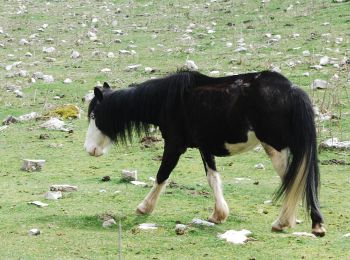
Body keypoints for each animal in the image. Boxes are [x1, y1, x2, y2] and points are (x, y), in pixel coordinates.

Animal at [84, 70, 326, 237]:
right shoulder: (204, 147)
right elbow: (213, 178)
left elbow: (162, 175)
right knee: (297, 180)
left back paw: (286, 222)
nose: (89, 149)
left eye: (95, 115)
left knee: (294, 181)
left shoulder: (174, 146)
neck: (168, 100)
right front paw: (218, 215)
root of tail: (292, 90)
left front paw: (144, 208)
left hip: (276, 148)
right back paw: (305, 223)